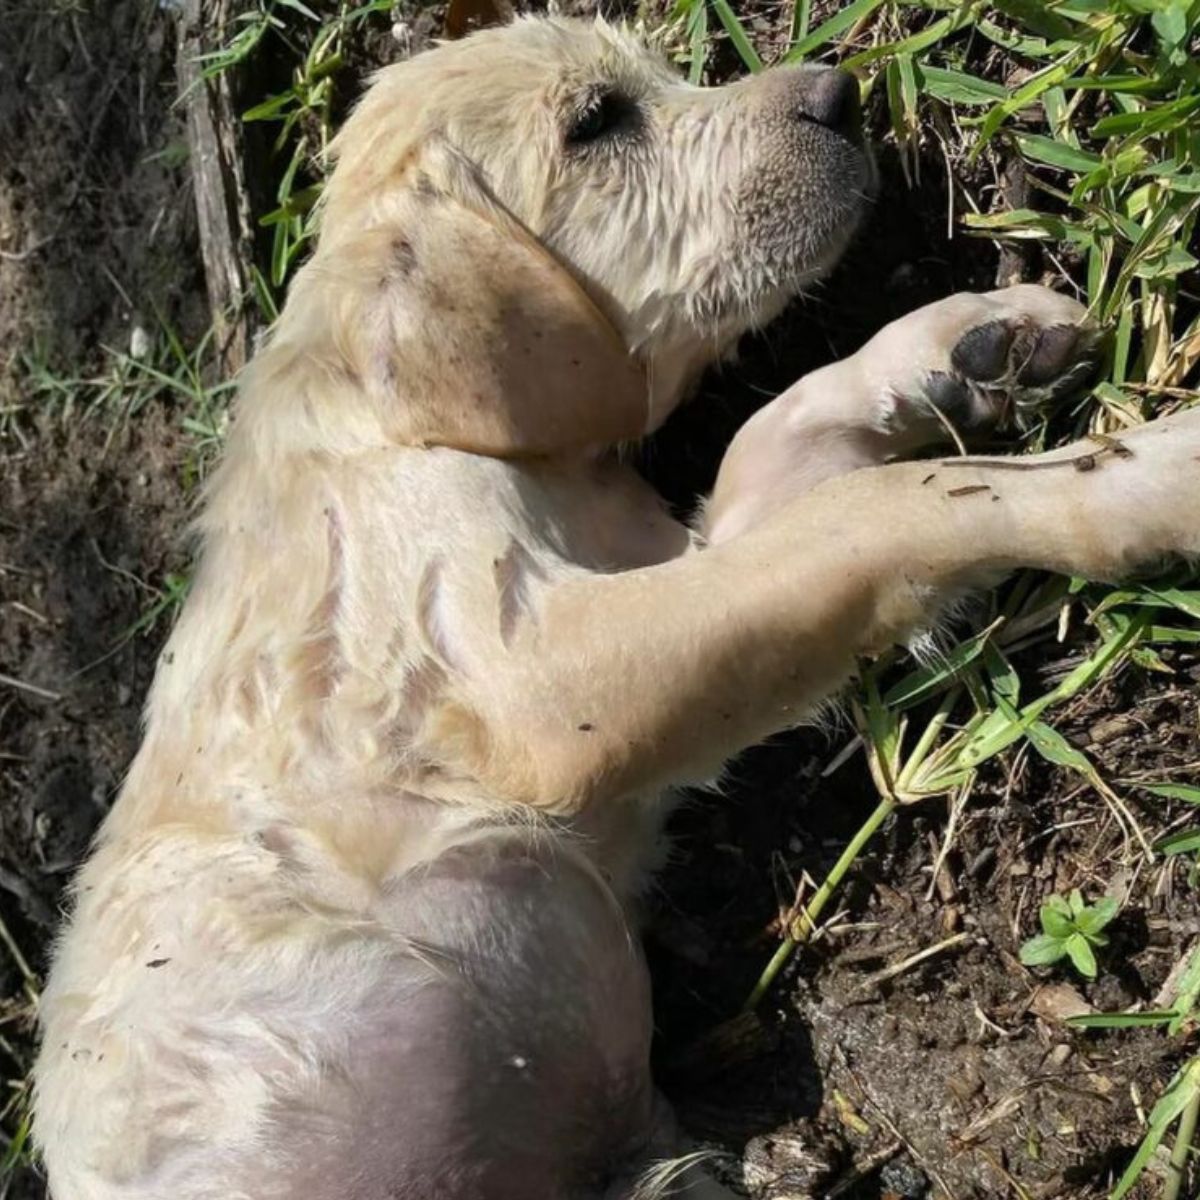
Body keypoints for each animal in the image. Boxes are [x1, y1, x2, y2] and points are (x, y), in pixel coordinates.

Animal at [30, 16, 1200, 1200]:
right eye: (597, 121)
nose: (845, 93)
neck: (433, 426)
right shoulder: (540, 685)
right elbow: (887, 508)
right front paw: (1139, 476)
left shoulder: (683, 552)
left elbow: (790, 430)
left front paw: (974, 341)